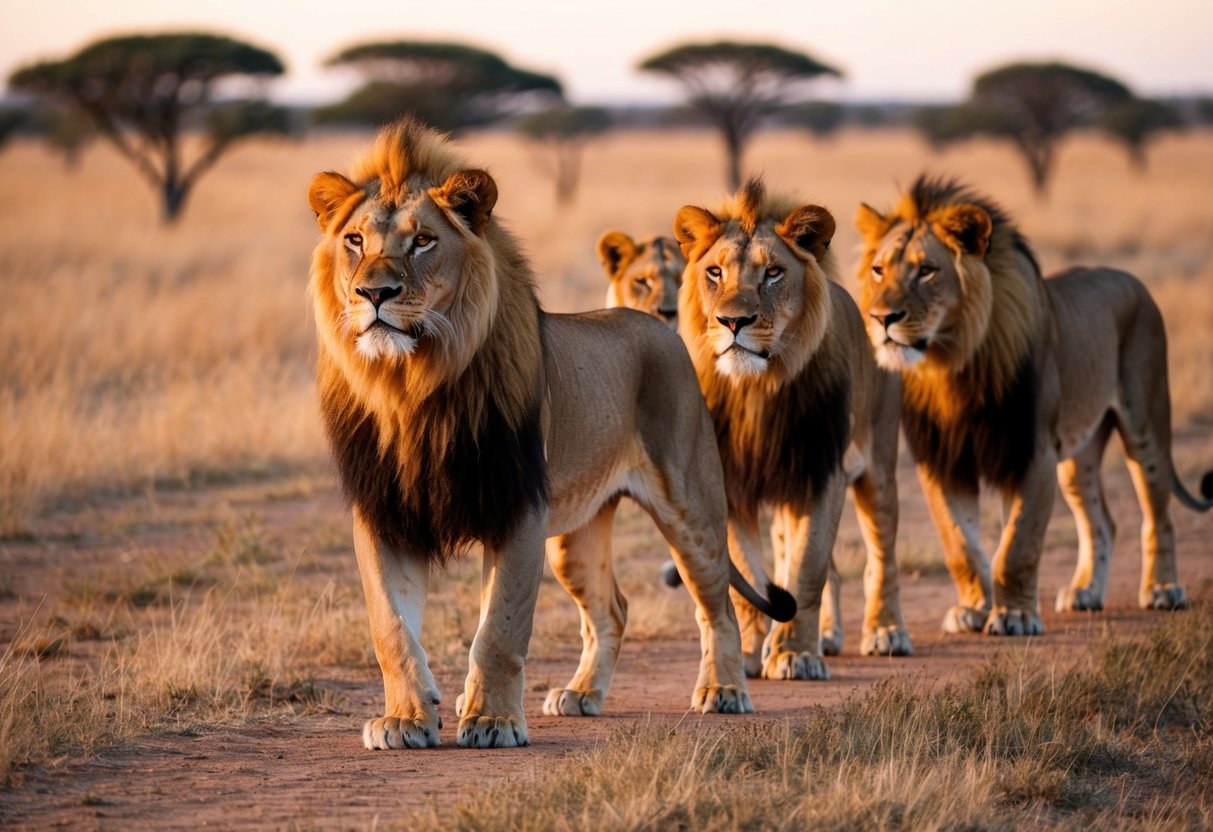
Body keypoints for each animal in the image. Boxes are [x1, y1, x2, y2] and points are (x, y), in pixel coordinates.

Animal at [306, 119, 794, 749]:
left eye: (423, 242)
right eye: (355, 241)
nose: (374, 294)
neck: (411, 385)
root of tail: (658, 327)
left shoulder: (518, 507)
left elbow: (500, 628)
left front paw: (491, 721)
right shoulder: (384, 510)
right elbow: (391, 626)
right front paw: (407, 719)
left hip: (691, 507)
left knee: (719, 605)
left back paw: (725, 690)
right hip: (575, 537)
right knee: (613, 609)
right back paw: (581, 693)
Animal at [674, 179, 908, 680]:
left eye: (773, 273)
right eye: (716, 272)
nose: (733, 321)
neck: (757, 392)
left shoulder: (820, 473)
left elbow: (806, 570)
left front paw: (795, 653)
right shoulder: (731, 484)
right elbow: (749, 573)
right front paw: (749, 651)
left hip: (878, 467)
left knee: (882, 556)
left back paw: (886, 631)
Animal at [854, 175, 1213, 636]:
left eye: (927, 270)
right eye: (879, 270)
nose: (881, 318)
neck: (950, 365)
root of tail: (1134, 282)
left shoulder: (1030, 452)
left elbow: (1017, 546)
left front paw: (1015, 616)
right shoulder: (942, 461)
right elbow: (960, 544)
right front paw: (972, 609)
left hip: (1145, 422)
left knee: (1159, 513)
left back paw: (1163, 589)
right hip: (1078, 456)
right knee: (1102, 522)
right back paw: (1085, 592)